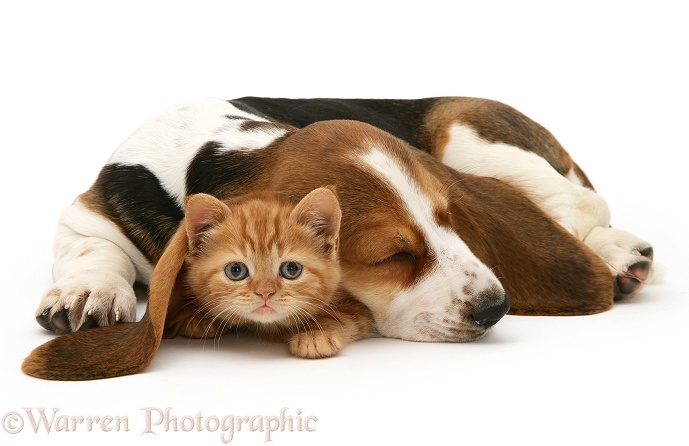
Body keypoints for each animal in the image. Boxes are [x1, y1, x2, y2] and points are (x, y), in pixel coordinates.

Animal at [21, 97, 652, 380]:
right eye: (393, 254)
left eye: (447, 219)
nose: (497, 308)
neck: (225, 150)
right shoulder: (90, 212)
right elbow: (92, 249)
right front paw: (88, 293)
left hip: (465, 129)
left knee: (582, 206)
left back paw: (620, 254)